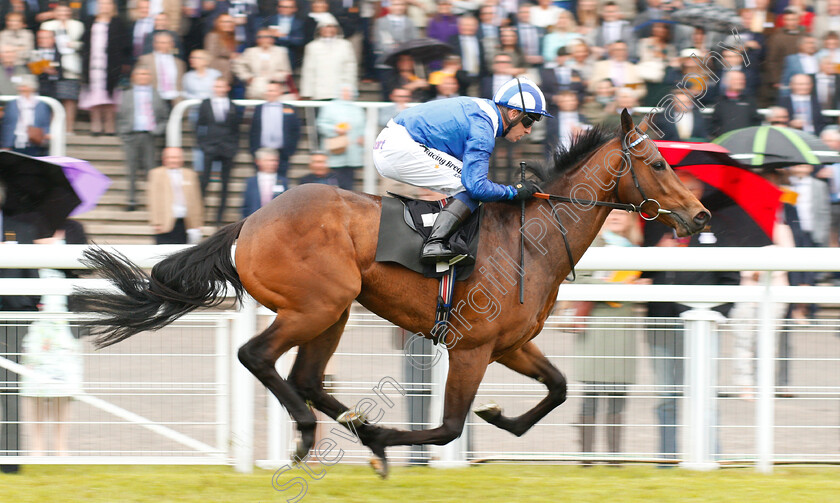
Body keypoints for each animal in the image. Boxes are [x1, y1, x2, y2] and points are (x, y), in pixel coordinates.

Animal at [77, 110, 708, 476]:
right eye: (657, 162)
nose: (700, 215)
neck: (534, 237)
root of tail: (250, 221)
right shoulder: (471, 348)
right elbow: (450, 425)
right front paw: (405, 436)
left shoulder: (509, 344)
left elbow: (558, 387)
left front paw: (501, 420)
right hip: (316, 305)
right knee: (257, 356)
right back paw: (316, 434)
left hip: (332, 311)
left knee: (306, 377)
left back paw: (361, 440)